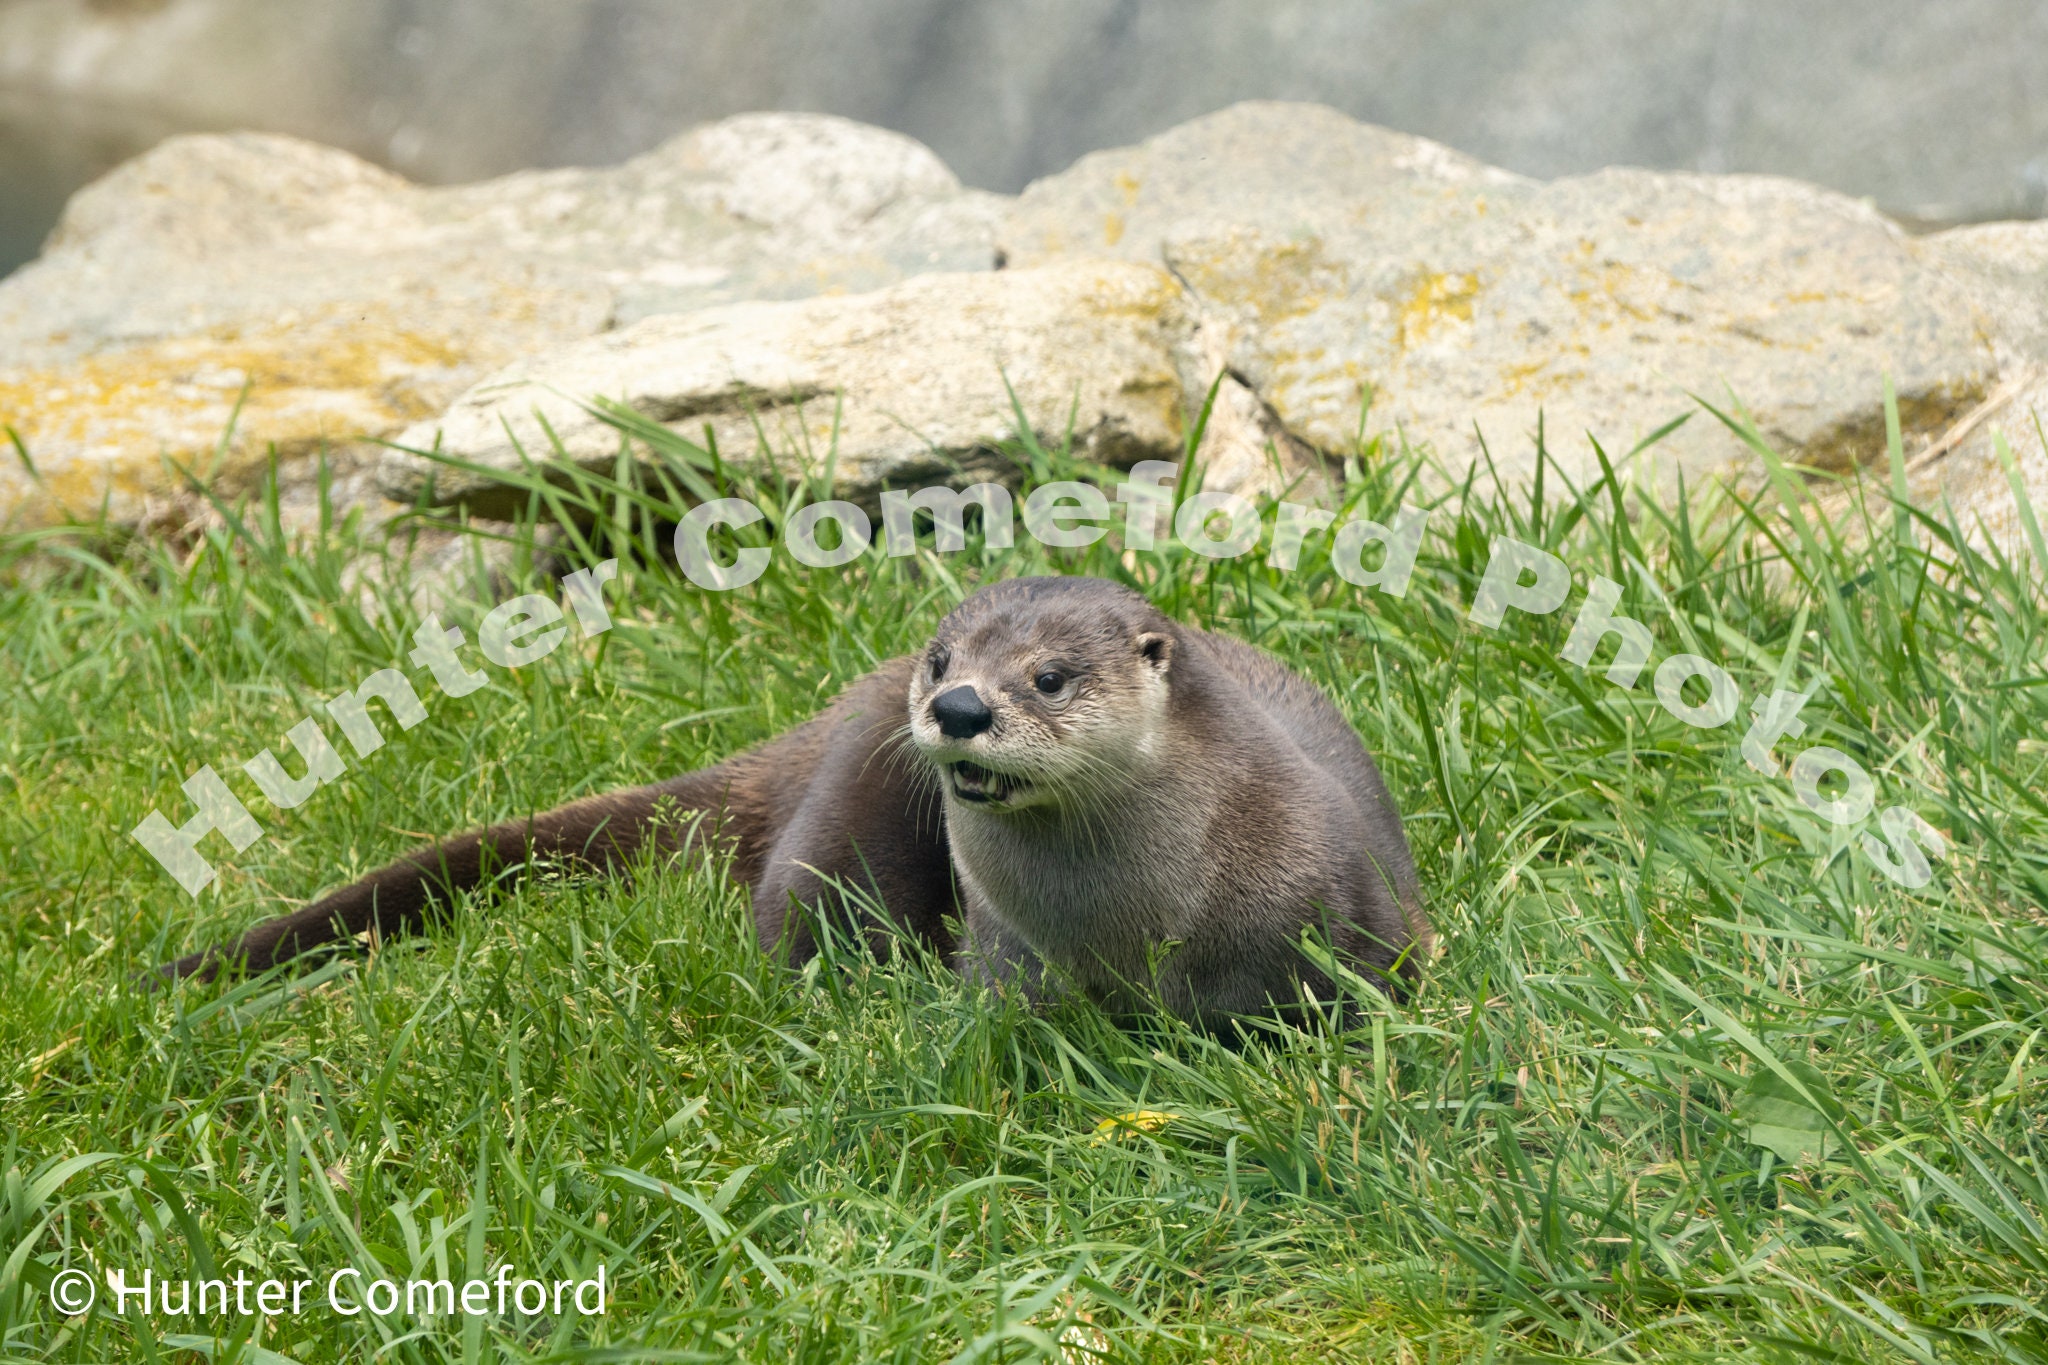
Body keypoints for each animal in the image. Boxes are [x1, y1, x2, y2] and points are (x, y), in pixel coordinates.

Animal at [160, 577, 1428, 1024]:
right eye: (944, 655)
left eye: (1051, 676)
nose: (957, 706)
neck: (1134, 923)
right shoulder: (1010, 956)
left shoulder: (1348, 911)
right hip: (846, 807)